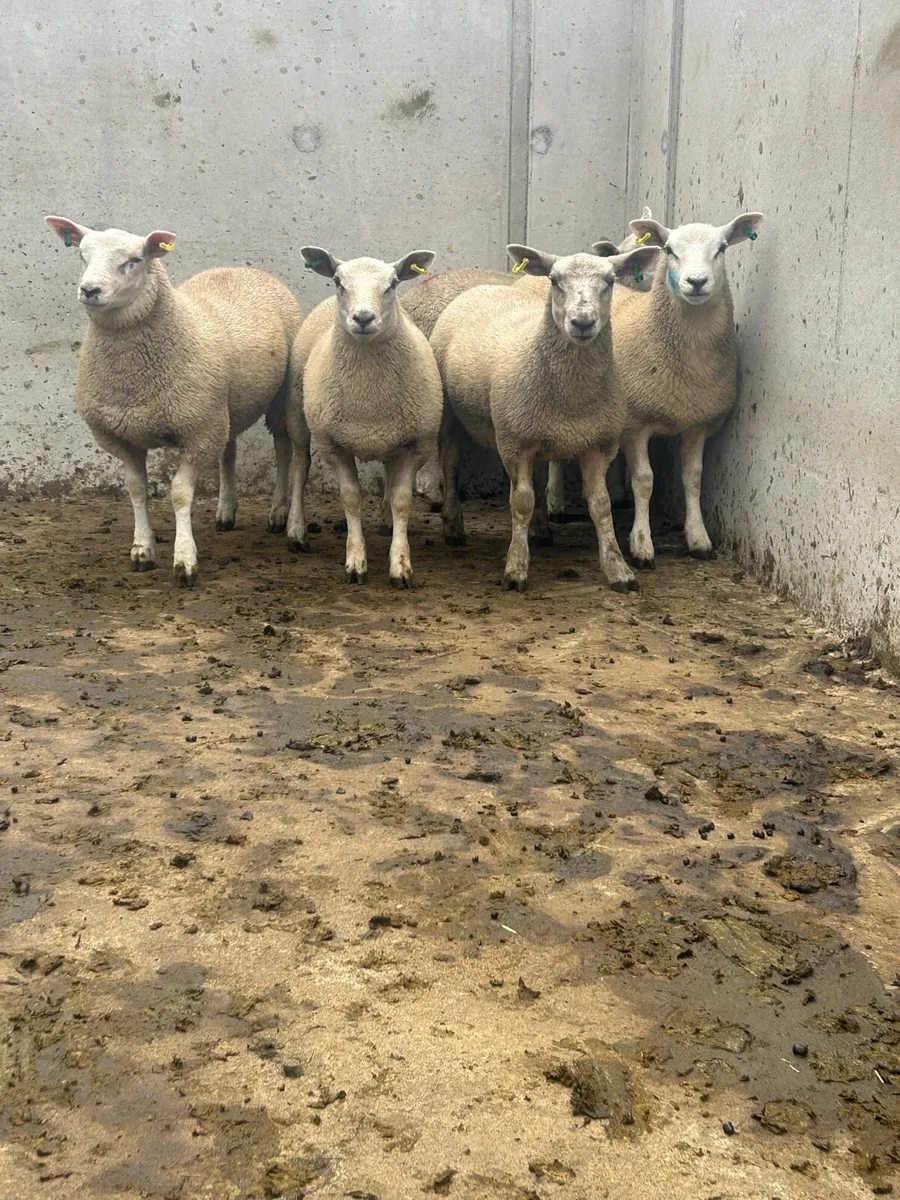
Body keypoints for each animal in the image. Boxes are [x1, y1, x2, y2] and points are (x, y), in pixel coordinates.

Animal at [45, 217, 302, 586]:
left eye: (135, 259)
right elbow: (136, 489)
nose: (90, 290)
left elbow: (180, 493)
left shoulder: (199, 432)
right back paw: (226, 512)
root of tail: (242, 269)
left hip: (275, 400)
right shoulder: (121, 436)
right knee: (229, 450)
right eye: (82, 255)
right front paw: (142, 550)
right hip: (223, 407)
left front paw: (184, 560)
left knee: (282, 449)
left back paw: (278, 514)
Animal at [285, 247, 442, 588]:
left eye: (393, 284)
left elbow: (401, 500)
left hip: (392, 434)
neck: (369, 394)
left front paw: (400, 565)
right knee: (299, 466)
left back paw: (385, 522)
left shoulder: (416, 445)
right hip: (298, 414)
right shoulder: (334, 446)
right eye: (338, 281)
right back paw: (296, 531)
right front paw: (356, 562)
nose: (363, 318)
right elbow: (351, 499)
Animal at [429, 241, 661, 591]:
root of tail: (482, 287)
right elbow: (520, 502)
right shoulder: (513, 444)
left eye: (609, 281)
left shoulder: (598, 445)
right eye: (554, 280)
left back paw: (540, 530)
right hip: (454, 418)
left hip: (536, 430)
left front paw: (618, 569)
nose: (582, 322)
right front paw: (515, 568)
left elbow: (601, 506)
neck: (573, 398)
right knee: (451, 465)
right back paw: (454, 527)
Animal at [613, 210, 764, 568]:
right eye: (669, 250)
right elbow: (645, 481)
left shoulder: (698, 421)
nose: (696, 282)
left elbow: (693, 478)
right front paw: (642, 544)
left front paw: (698, 538)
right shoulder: (637, 425)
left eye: (722, 248)